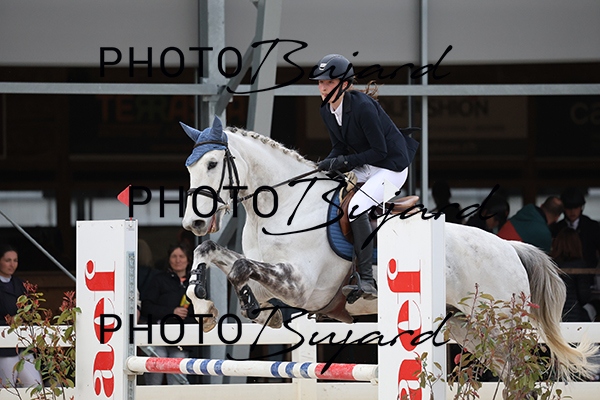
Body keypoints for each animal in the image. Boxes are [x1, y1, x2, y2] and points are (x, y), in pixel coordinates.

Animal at [180, 116, 597, 381]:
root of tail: (510, 248)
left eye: (213, 164)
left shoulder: (303, 287)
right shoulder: (273, 282)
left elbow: (239, 267)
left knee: (525, 373)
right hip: (467, 328)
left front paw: (240, 309)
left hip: (501, 325)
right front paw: (207, 306)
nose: (192, 223)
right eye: (189, 169)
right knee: (511, 375)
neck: (283, 207)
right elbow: (216, 255)